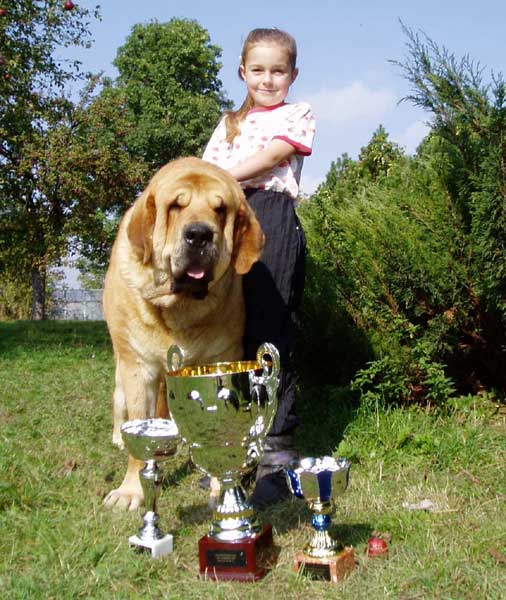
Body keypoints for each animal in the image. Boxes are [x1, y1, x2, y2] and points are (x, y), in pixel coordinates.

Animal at [101, 157, 262, 508]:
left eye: (220, 210)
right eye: (176, 206)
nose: (199, 234)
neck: (178, 306)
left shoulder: (222, 361)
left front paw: (221, 485)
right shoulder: (137, 368)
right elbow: (139, 428)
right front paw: (131, 491)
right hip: (122, 372)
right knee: (120, 406)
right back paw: (119, 437)